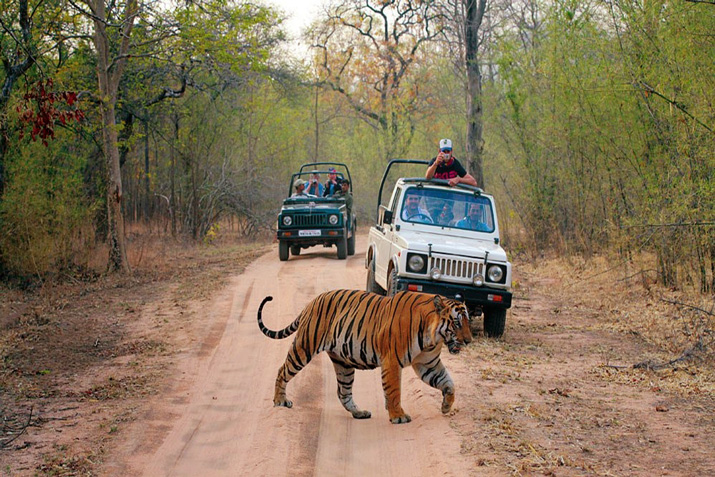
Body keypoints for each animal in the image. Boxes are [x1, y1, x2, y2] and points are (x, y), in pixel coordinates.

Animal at [255, 288, 472, 422]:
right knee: (282, 370)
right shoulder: (392, 361)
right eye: (457, 323)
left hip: (343, 364)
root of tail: (313, 301)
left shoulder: (429, 364)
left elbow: (448, 383)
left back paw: (359, 413)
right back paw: (280, 401)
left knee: (343, 392)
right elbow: (394, 391)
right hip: (304, 347)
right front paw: (398, 416)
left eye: (467, 322)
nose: (469, 341)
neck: (432, 338)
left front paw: (446, 406)